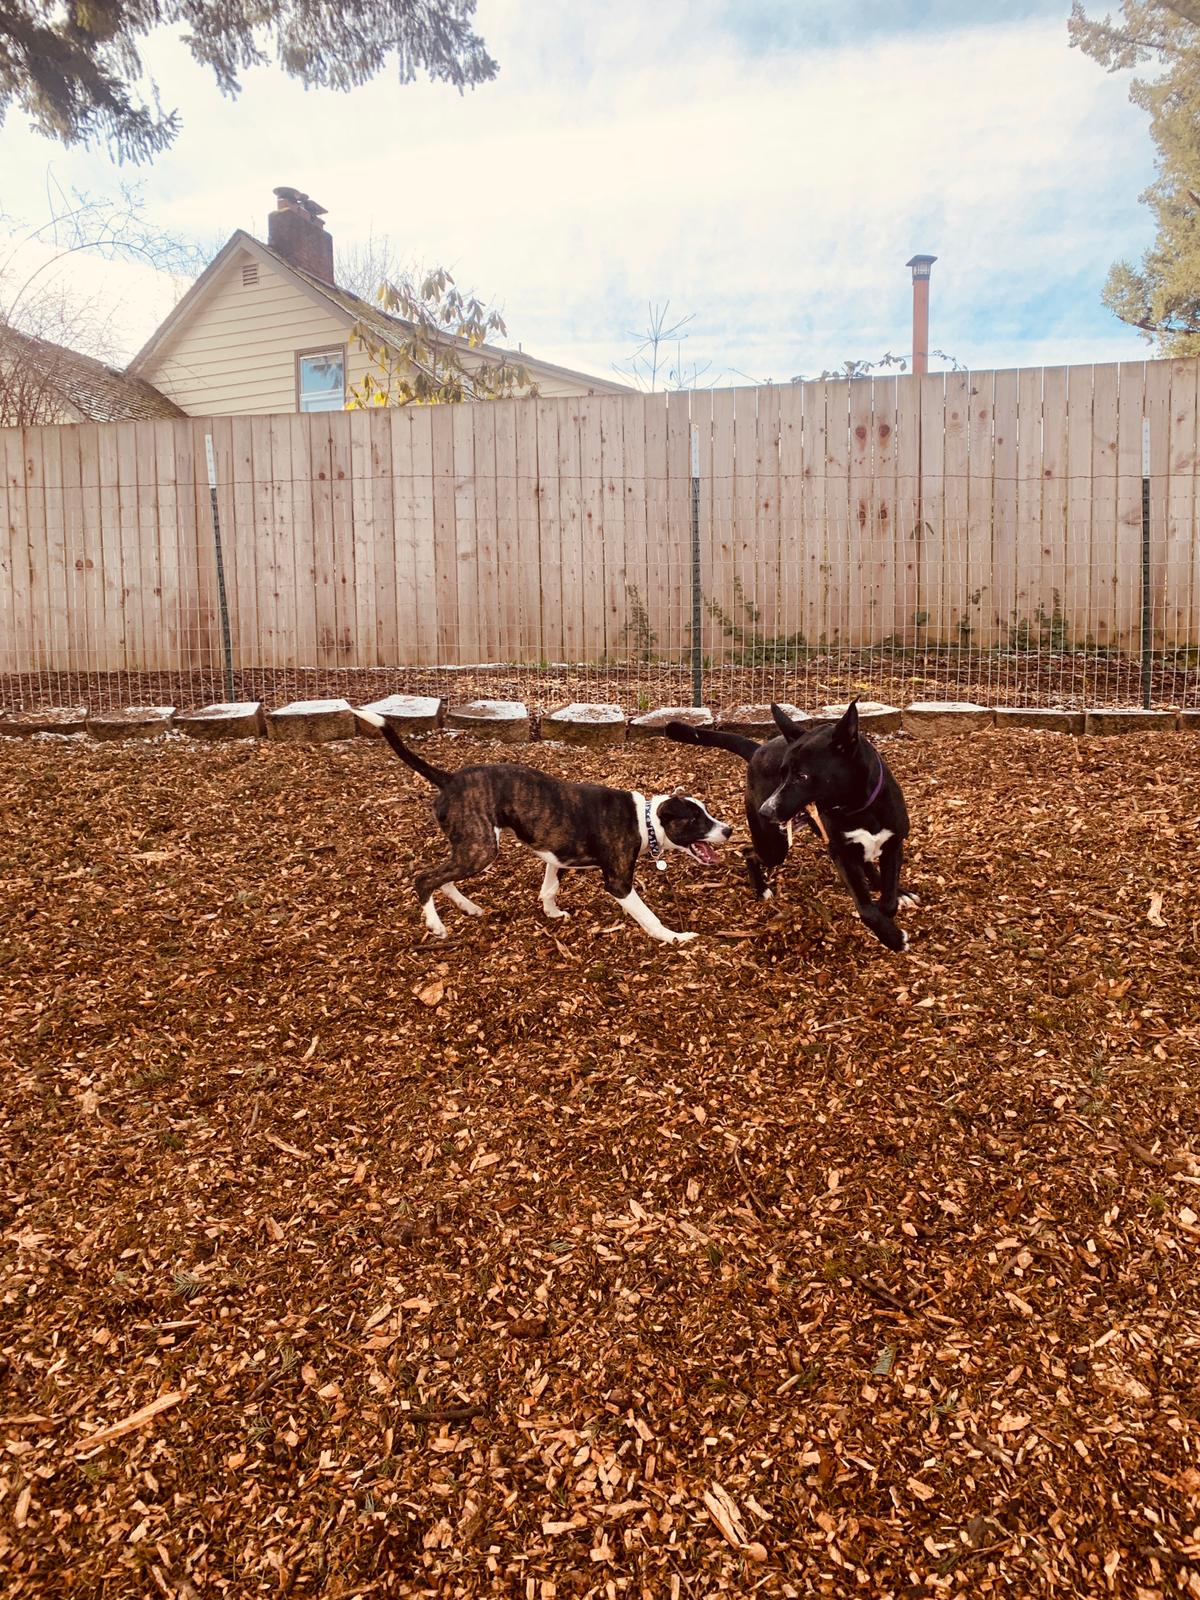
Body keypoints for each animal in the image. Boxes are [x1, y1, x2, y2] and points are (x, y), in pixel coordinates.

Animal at [354, 709, 732, 944]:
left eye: (707, 813)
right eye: (696, 819)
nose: (727, 830)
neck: (645, 820)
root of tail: (448, 779)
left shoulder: (558, 853)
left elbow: (550, 886)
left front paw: (551, 911)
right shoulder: (619, 883)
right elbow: (649, 917)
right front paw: (674, 937)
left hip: (470, 849)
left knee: (443, 877)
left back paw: (468, 907)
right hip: (481, 849)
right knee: (425, 879)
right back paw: (436, 924)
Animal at [665, 700, 915, 951]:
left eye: (802, 776)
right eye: (782, 773)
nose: (765, 811)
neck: (859, 808)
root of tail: (757, 750)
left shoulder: (894, 844)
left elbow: (888, 898)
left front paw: (890, 908)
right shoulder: (841, 853)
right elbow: (866, 909)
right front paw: (893, 938)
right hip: (773, 847)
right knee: (748, 852)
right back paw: (761, 888)